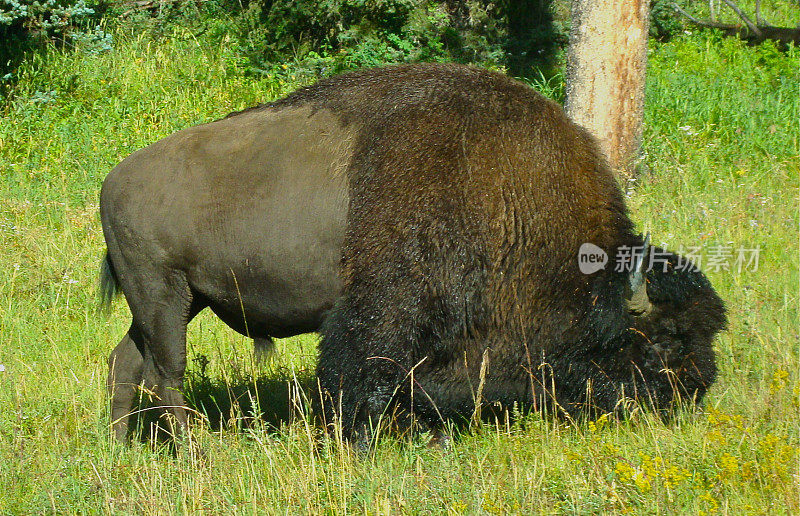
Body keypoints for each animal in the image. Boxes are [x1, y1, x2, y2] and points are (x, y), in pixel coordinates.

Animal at [98, 63, 724, 444]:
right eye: (666, 341)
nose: (695, 392)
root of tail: (112, 181)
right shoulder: (384, 312)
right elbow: (365, 375)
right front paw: (363, 443)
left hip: (175, 302)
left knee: (126, 361)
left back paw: (123, 447)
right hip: (163, 295)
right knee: (167, 373)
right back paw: (195, 453)